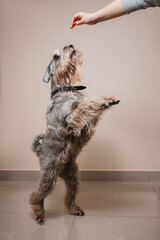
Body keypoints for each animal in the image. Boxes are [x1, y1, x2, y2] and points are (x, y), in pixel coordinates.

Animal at [29, 44, 120, 224]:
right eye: (56, 57)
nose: (70, 45)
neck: (66, 88)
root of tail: (39, 151)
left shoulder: (89, 122)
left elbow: (90, 106)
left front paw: (107, 100)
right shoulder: (72, 120)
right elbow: (85, 105)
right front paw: (103, 101)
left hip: (72, 177)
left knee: (69, 196)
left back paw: (74, 209)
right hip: (48, 176)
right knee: (37, 195)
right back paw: (39, 213)